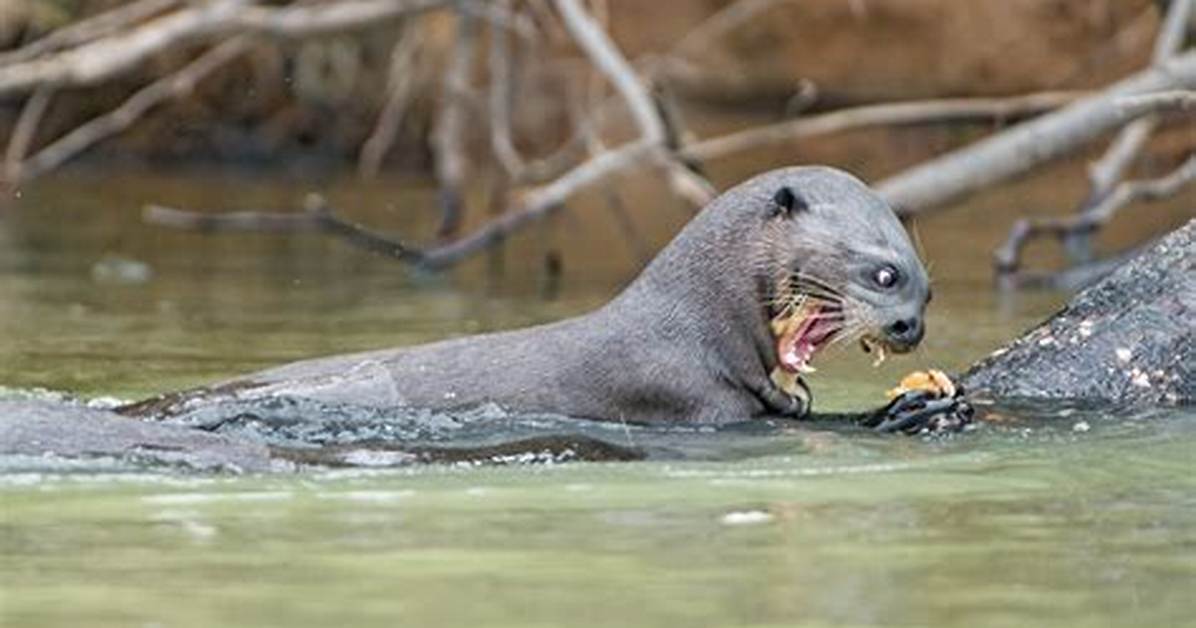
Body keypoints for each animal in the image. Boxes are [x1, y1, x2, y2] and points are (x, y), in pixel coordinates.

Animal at [127, 166, 947, 430]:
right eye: (884, 274)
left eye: (928, 288)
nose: (910, 327)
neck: (691, 327)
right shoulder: (690, 398)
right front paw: (906, 410)